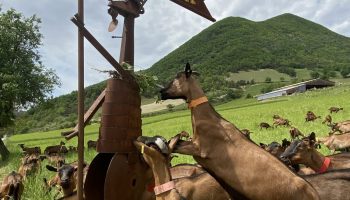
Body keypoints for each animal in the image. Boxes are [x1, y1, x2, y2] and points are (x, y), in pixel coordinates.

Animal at [160, 63, 322, 200]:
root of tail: (313, 193)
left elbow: (175, 144)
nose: (161, 92)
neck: (207, 118)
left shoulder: (200, 148)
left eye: (177, 77)